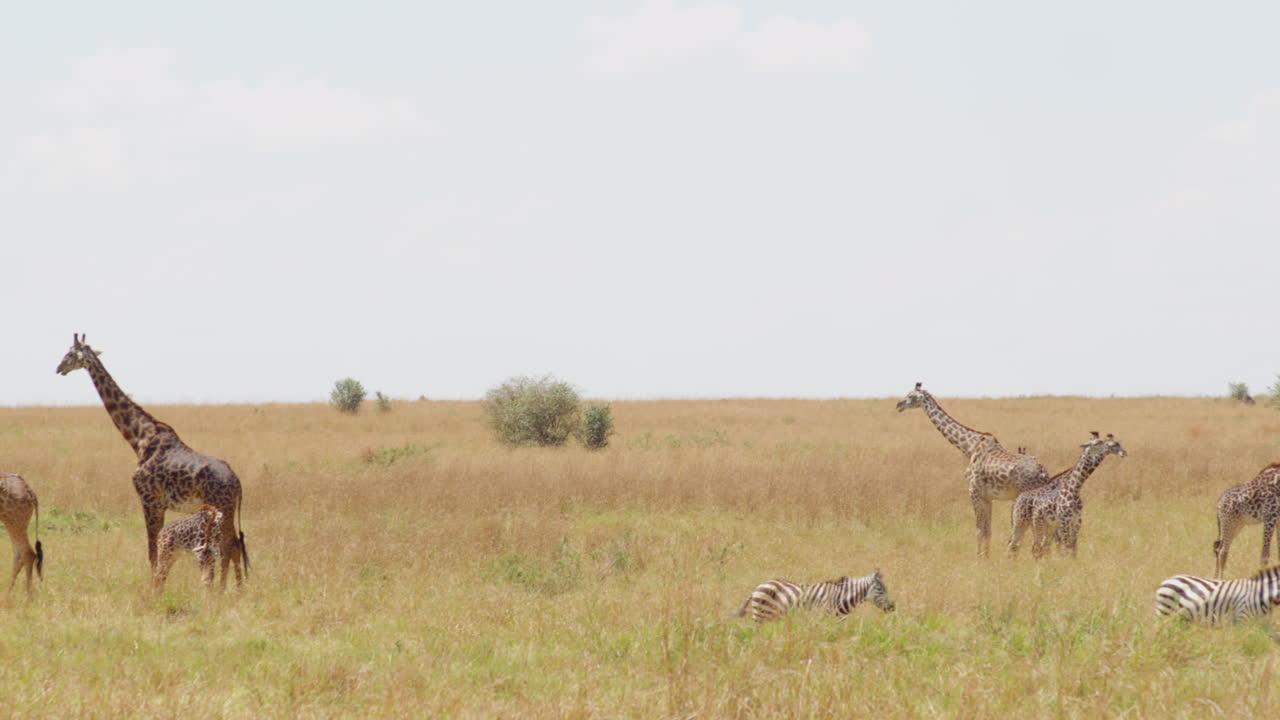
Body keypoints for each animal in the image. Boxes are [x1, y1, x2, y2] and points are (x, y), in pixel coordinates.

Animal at [732, 568, 895, 622]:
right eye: (880, 590)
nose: (892, 607)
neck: (840, 597)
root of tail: (758, 587)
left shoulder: (840, 621)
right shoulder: (826, 617)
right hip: (761, 615)